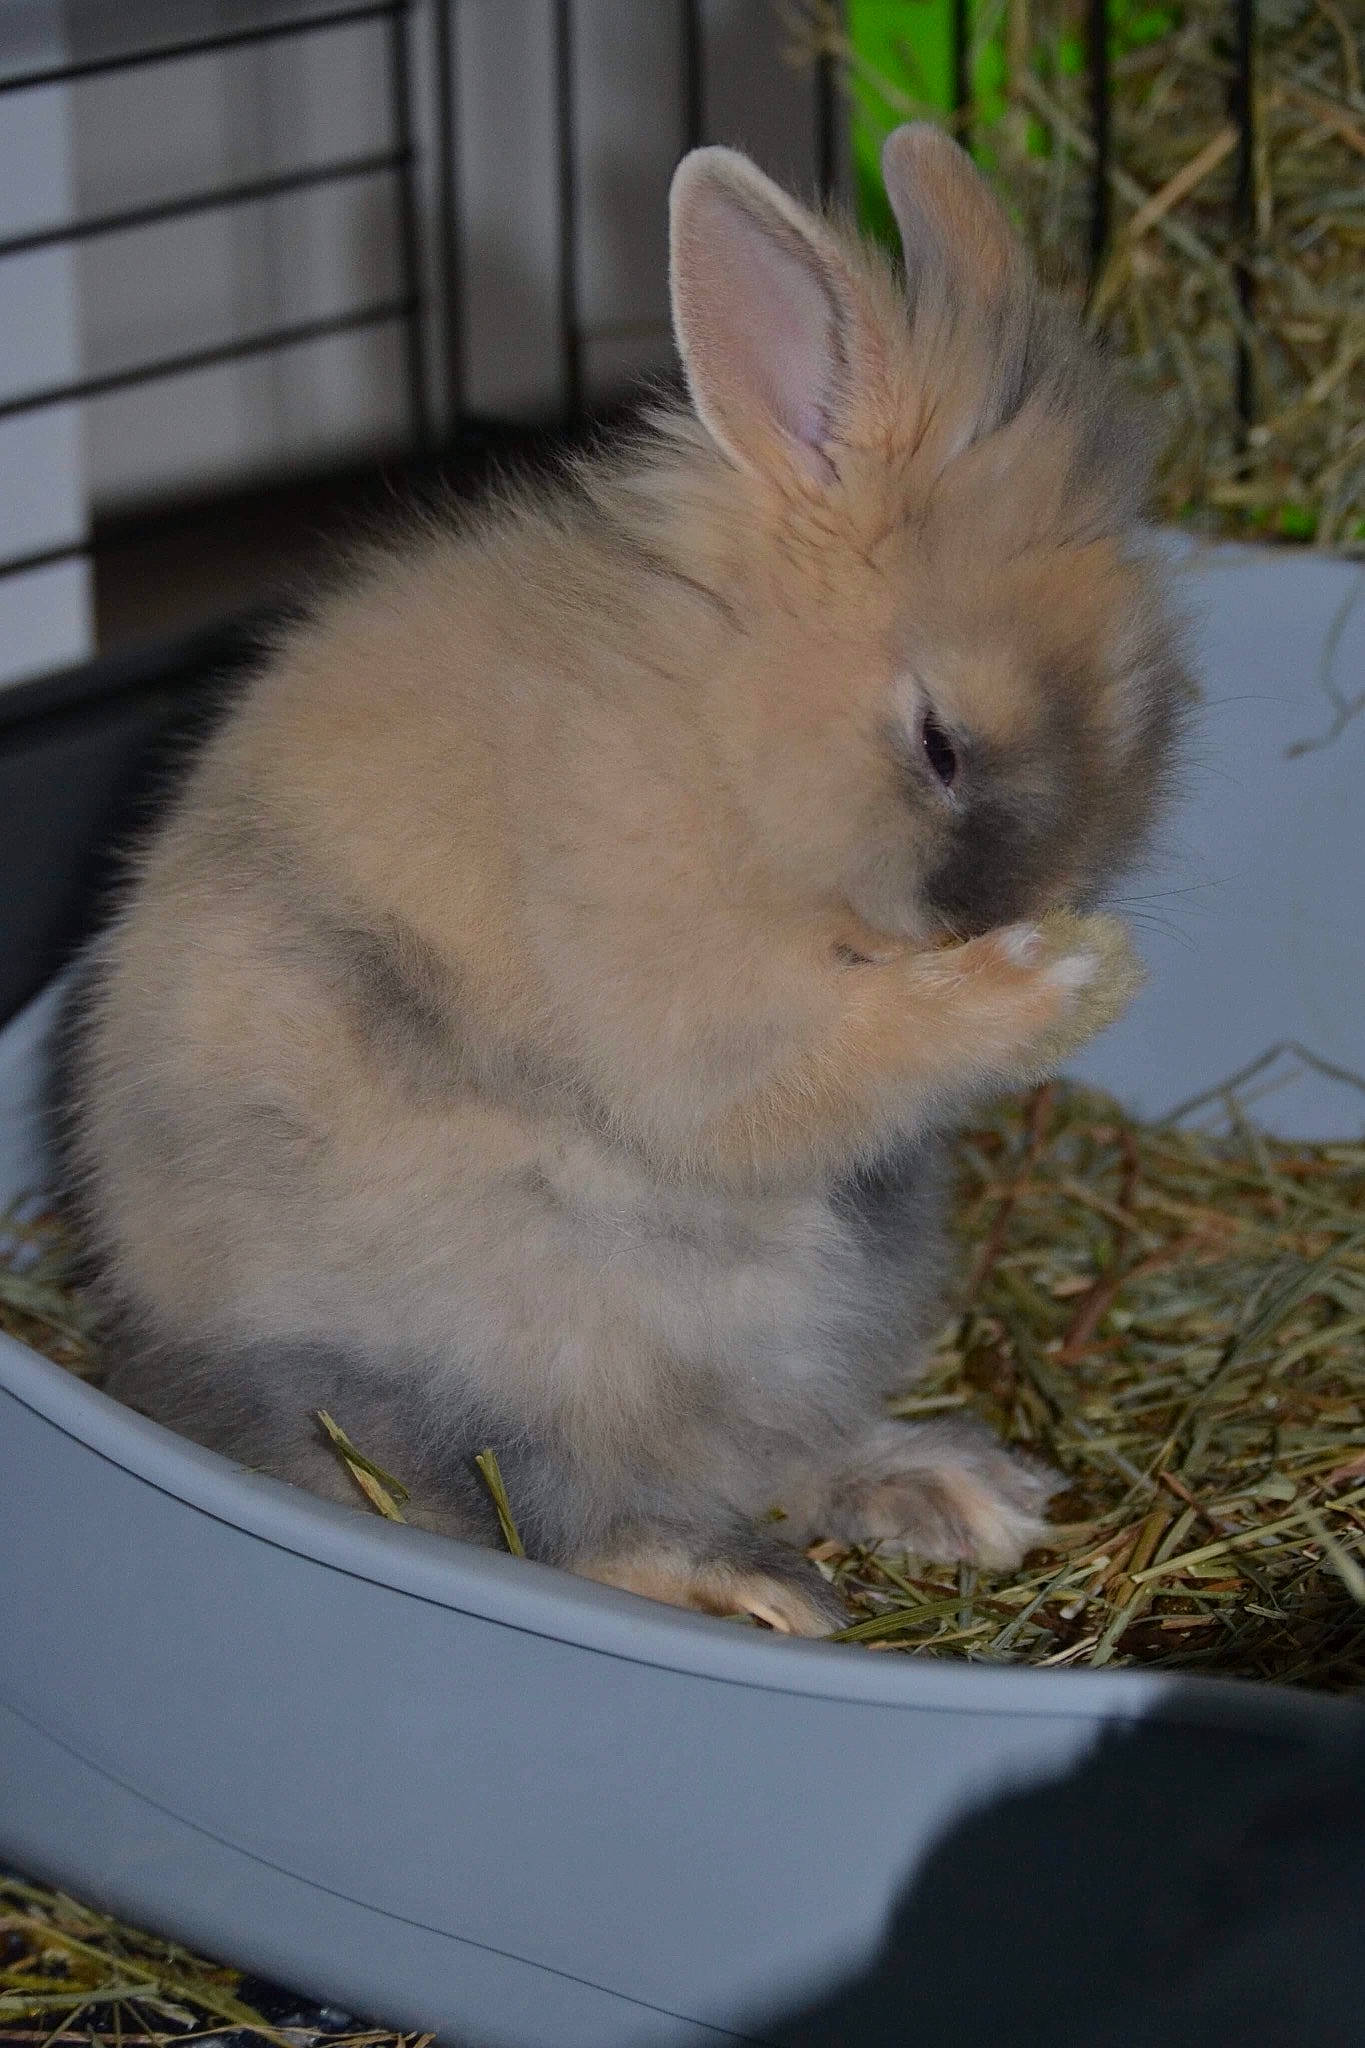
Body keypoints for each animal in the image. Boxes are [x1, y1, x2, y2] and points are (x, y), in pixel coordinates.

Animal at [62, 125, 1188, 1637]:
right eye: (937, 744)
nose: (1007, 909)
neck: (719, 724)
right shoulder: (678, 994)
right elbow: (792, 1078)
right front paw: (1065, 977)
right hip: (537, 1334)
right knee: (560, 1520)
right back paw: (763, 1591)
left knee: (767, 1451)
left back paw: (956, 1490)